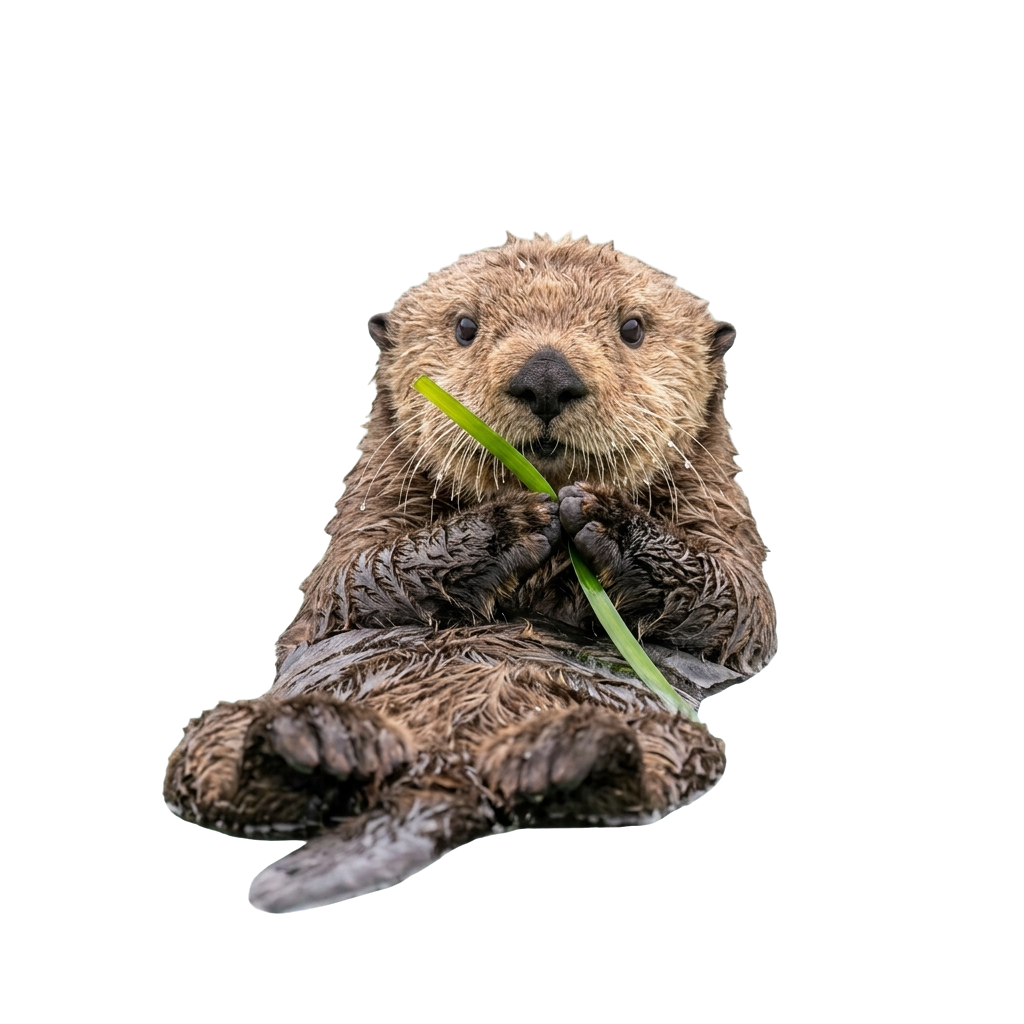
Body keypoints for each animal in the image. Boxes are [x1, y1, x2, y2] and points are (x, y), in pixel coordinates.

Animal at [163, 230, 777, 913]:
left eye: (633, 328)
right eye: (465, 327)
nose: (546, 376)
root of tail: (439, 771)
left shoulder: (724, 526)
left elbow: (736, 605)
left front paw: (598, 516)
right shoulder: (359, 528)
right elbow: (356, 581)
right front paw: (519, 520)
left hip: (672, 739)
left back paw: (560, 750)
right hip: (215, 729)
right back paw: (316, 740)